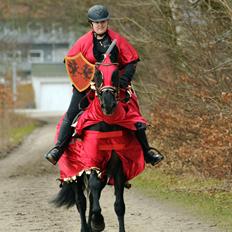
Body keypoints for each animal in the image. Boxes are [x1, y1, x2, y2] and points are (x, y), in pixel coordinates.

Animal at [52, 41, 145, 232]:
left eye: (116, 73)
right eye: (97, 73)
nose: (108, 104)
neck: (106, 125)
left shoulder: (118, 165)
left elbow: (119, 206)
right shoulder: (92, 161)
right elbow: (93, 191)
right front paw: (98, 221)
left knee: (93, 195)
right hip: (75, 172)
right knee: (82, 201)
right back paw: (86, 226)